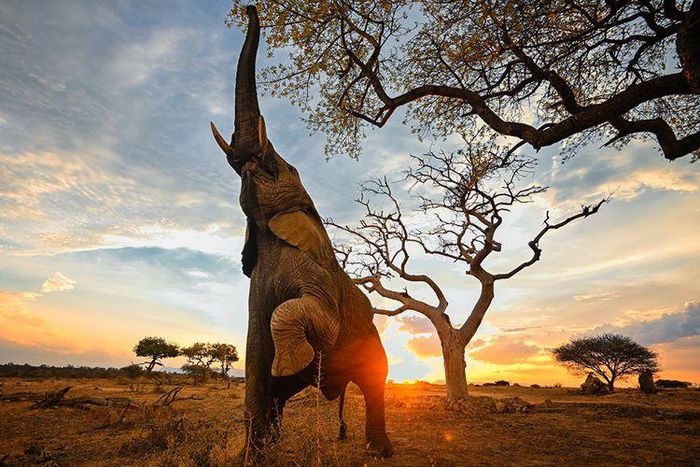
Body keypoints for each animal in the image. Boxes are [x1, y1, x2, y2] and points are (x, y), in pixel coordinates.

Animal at [209, 5, 393, 459]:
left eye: (275, 164)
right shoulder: (255, 291)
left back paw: (379, 451)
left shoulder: (320, 279)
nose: (250, 8)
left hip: (370, 339)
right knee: (277, 397)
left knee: (375, 383)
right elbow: (256, 362)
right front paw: (252, 459)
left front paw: (288, 361)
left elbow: (310, 318)